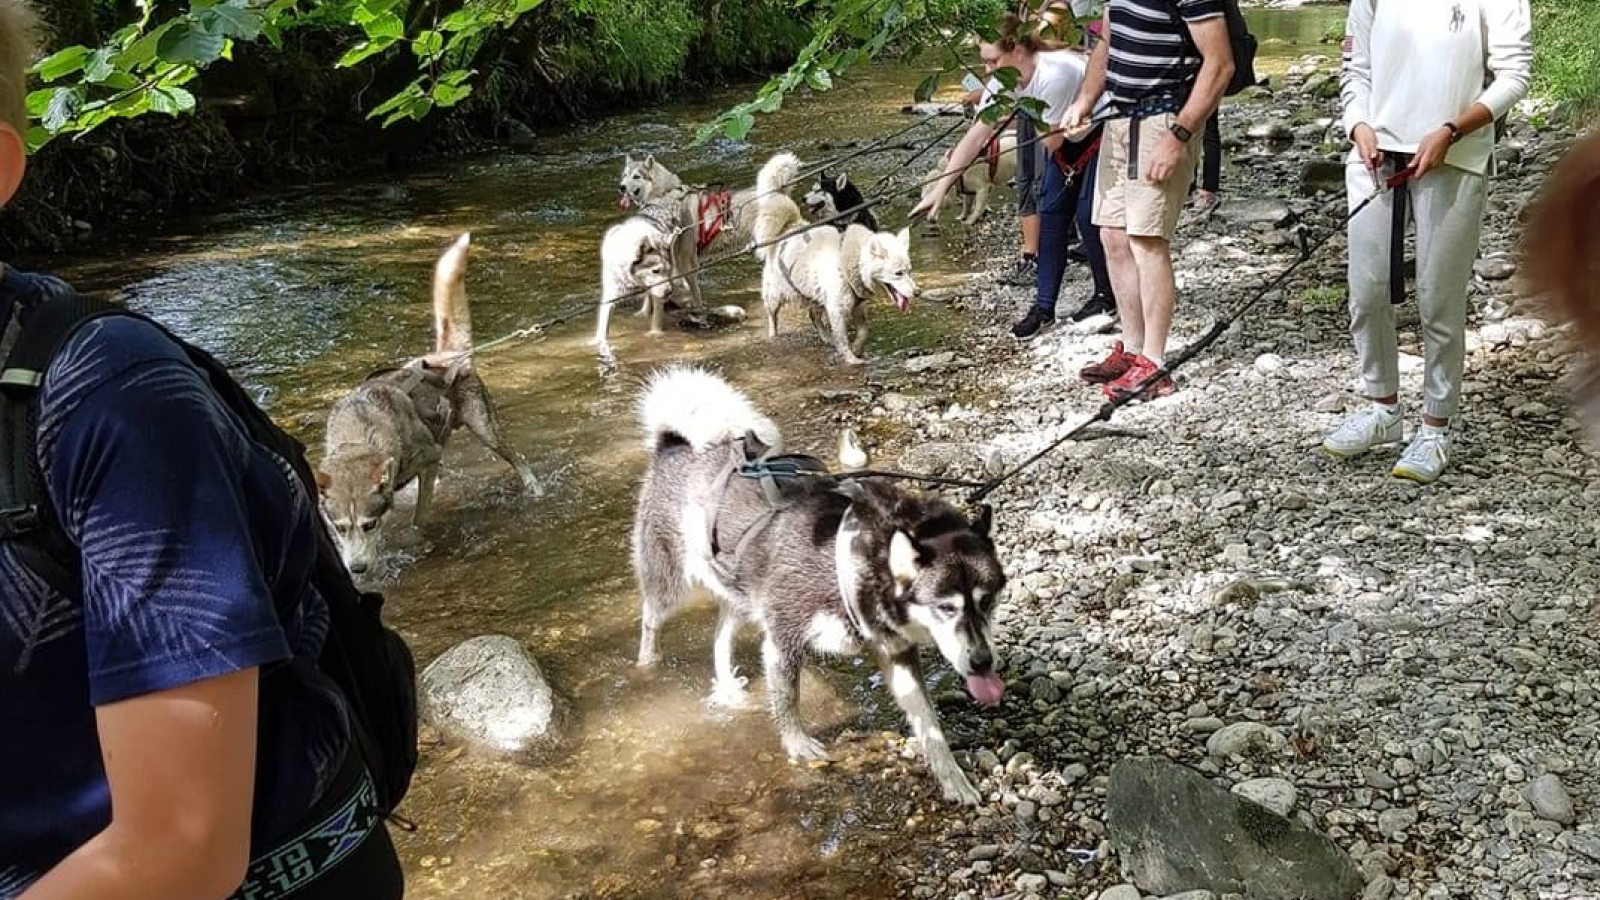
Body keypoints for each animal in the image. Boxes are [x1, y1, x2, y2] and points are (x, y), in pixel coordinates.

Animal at [318, 235, 544, 570]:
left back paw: (534, 487)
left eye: (369, 524)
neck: (363, 434)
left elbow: (419, 517)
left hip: (485, 427)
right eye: (340, 527)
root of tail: (448, 358)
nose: (357, 568)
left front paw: (415, 540)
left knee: (517, 457)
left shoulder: (429, 458)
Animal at [595, 187, 681, 344]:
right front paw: (600, 343)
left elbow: (656, 320)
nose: (669, 292)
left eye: (668, 270)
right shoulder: (610, 295)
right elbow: (603, 328)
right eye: (655, 271)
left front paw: (655, 334)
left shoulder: (659, 292)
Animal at [630, 368, 1004, 800]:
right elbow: (786, 700)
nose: (983, 662)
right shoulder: (783, 641)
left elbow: (930, 725)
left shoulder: (895, 652)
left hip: (739, 593)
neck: (852, 555)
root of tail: (672, 442)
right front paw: (796, 744)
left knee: (721, 635)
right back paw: (647, 665)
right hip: (669, 585)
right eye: (946, 607)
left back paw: (727, 689)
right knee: (651, 620)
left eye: (988, 601)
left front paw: (953, 778)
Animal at [758, 212, 921, 365]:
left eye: (910, 271)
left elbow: (864, 332)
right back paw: (773, 336)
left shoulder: (857, 307)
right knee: (772, 316)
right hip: (776, 296)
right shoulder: (837, 310)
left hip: (816, 296)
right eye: (898, 273)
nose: (917, 292)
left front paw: (856, 348)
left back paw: (826, 337)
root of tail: (790, 228)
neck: (851, 263)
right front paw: (851, 359)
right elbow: (842, 339)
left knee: (814, 316)